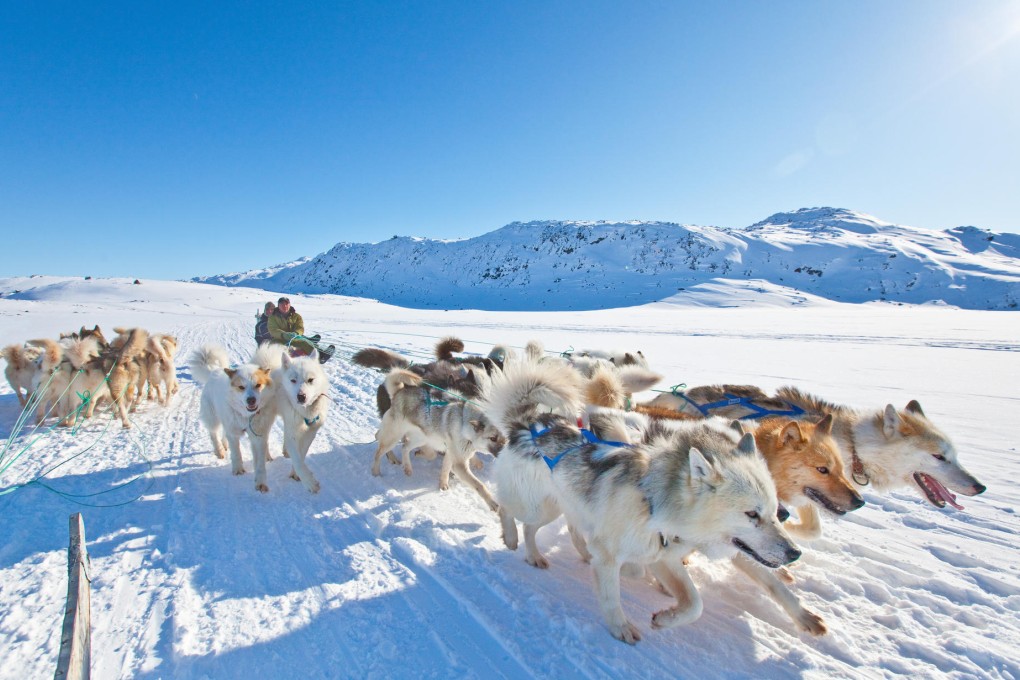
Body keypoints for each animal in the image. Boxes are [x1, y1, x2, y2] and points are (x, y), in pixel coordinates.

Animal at [189, 342, 279, 491]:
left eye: (258, 385)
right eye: (241, 387)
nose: (251, 400)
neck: (247, 417)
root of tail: (214, 371)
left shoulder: (258, 436)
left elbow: (260, 463)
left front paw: (260, 482)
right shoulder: (234, 432)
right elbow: (236, 453)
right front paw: (238, 470)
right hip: (213, 417)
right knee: (213, 434)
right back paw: (219, 450)